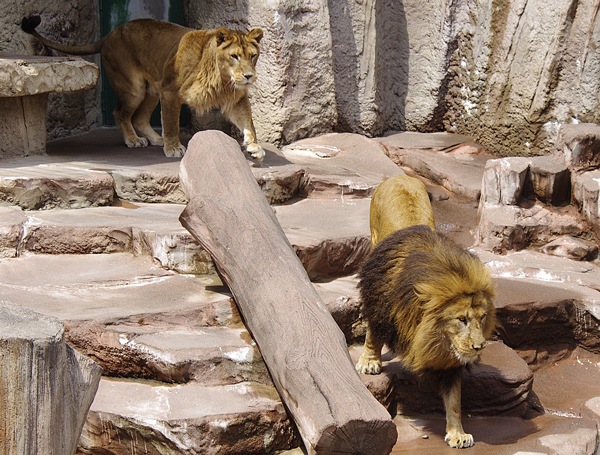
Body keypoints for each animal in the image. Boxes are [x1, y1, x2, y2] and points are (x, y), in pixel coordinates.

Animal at [22, 16, 264, 160]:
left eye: (253, 56)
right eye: (234, 56)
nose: (249, 76)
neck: (222, 79)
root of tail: (109, 34)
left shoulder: (236, 99)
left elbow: (248, 121)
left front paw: (254, 147)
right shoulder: (170, 92)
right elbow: (171, 123)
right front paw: (173, 148)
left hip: (151, 90)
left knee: (139, 118)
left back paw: (156, 139)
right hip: (134, 90)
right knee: (120, 113)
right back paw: (133, 140)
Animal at [358, 175, 494, 448]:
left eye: (482, 318)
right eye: (461, 319)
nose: (478, 348)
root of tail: (400, 176)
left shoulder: (450, 361)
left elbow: (454, 400)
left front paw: (457, 433)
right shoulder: (378, 302)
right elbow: (373, 335)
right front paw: (369, 362)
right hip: (373, 238)